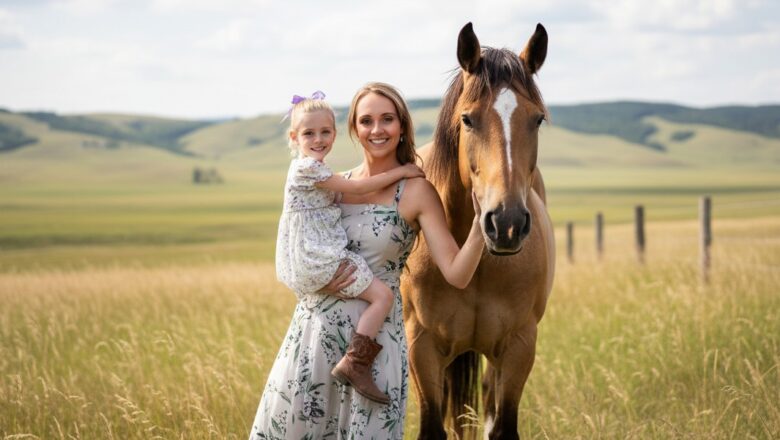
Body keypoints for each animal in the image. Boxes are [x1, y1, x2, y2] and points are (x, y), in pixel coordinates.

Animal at [401, 22, 555, 440]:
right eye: (468, 119)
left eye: (537, 119)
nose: (506, 224)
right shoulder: (421, 345)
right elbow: (432, 427)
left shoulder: (520, 346)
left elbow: (502, 428)